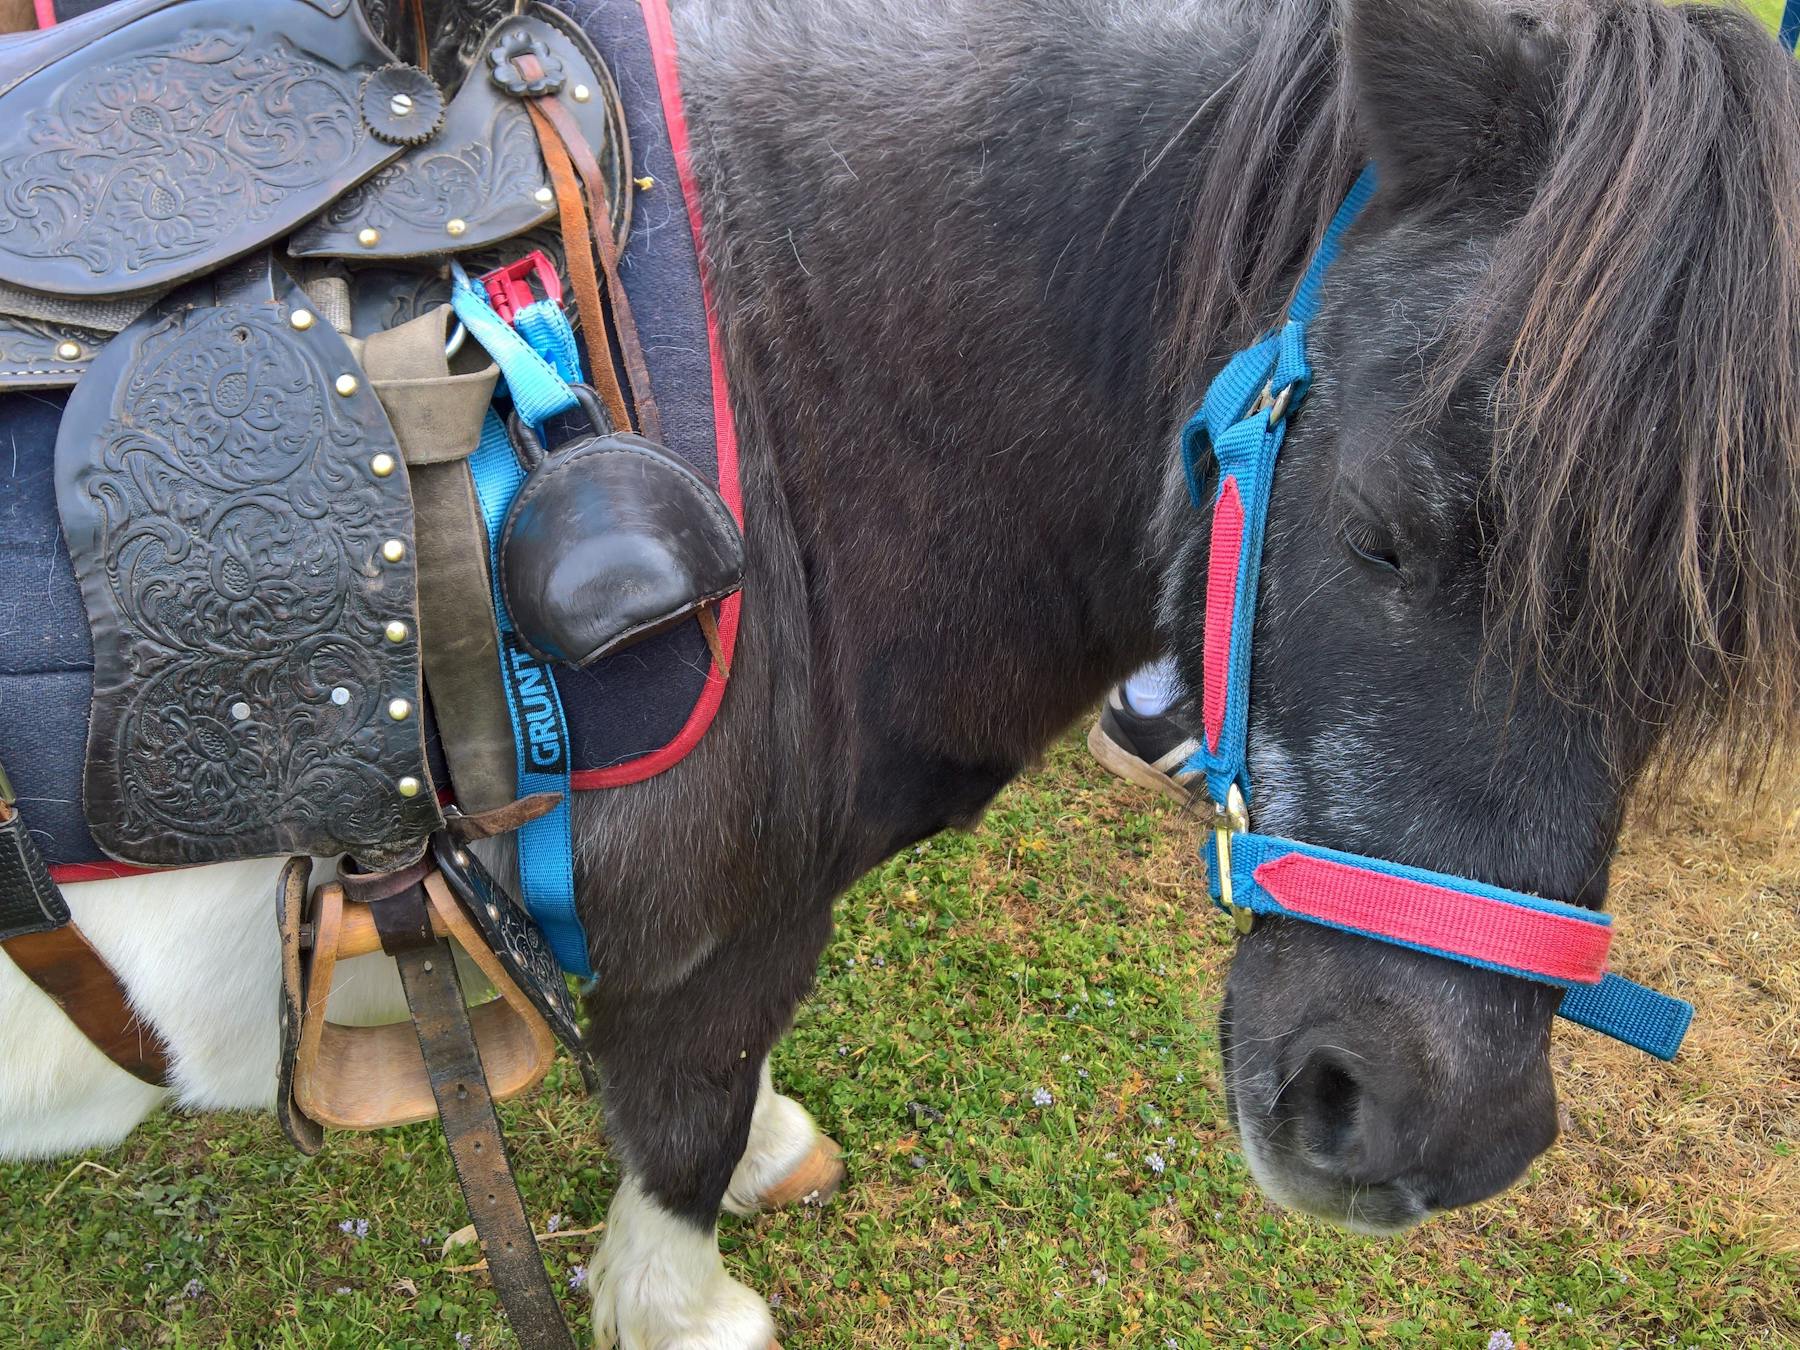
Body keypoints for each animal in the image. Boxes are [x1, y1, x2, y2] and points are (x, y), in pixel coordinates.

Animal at [3, 0, 1797, 1343]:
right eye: (1385, 530)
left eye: (1698, 635)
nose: (1437, 1135)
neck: (798, 357)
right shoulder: (724, 941)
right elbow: (681, 1146)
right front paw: (691, 1290)